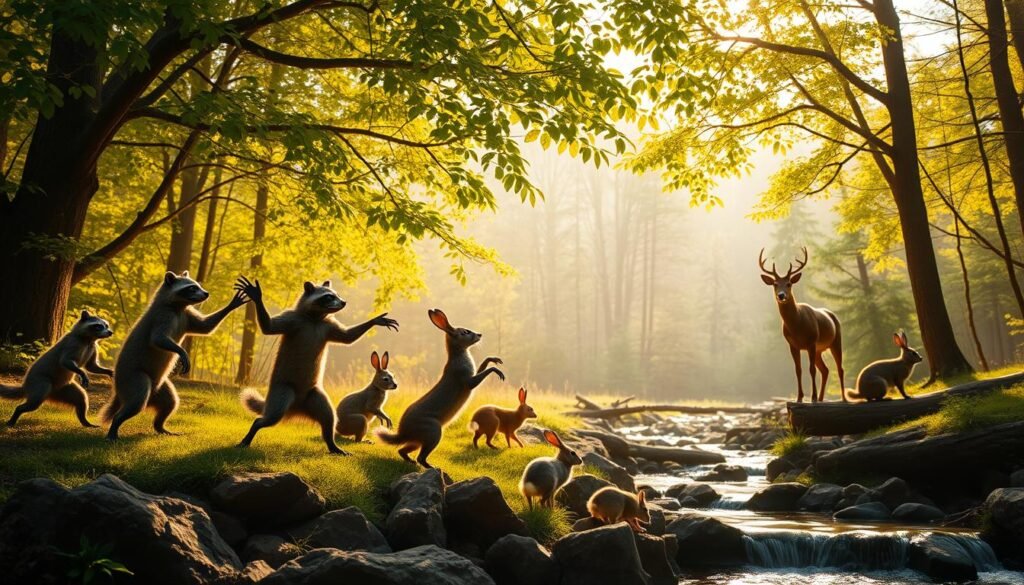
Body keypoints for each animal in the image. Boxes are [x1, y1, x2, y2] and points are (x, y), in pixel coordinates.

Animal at [377, 308, 504, 468]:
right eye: (465, 332)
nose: (479, 334)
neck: (458, 356)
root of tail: (403, 433)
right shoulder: (467, 380)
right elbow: (483, 374)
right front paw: (499, 372)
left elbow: (483, 366)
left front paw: (495, 359)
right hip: (434, 432)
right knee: (421, 457)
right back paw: (433, 467)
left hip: (418, 441)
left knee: (403, 451)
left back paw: (412, 462)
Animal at [759, 247, 846, 403]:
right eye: (775, 284)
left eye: (789, 283)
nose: (781, 295)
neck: (797, 326)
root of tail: (832, 314)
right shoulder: (793, 345)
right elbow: (798, 370)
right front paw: (799, 398)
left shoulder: (811, 341)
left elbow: (811, 369)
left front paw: (813, 397)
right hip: (819, 349)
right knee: (825, 370)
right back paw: (821, 398)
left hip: (836, 341)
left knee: (840, 368)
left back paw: (842, 398)